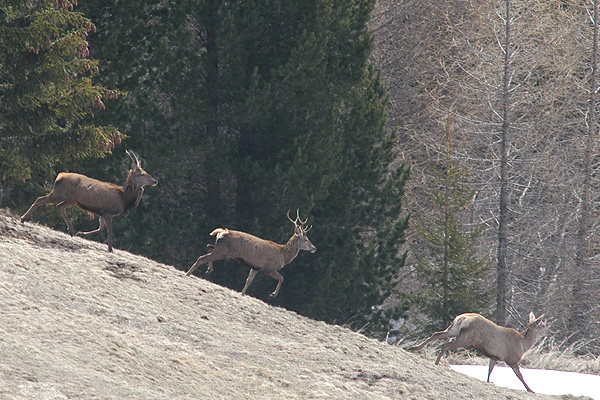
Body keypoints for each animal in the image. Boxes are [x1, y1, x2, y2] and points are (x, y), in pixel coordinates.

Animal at [20, 152, 157, 252]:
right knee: (40, 199)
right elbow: (109, 230)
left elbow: (100, 229)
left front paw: (81, 233)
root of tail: (59, 175)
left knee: (60, 207)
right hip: (59, 194)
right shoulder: (108, 212)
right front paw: (110, 249)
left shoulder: (102, 213)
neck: (124, 199)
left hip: (71, 199)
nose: (155, 181)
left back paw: (71, 230)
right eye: (142, 173)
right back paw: (23, 219)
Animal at [186, 209, 318, 296]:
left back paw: (208, 270)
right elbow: (282, 278)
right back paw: (188, 274)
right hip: (223, 251)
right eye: (306, 239)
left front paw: (242, 293)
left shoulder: (255, 267)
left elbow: (248, 281)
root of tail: (221, 232)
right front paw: (273, 294)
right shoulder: (269, 268)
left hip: (221, 248)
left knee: (208, 246)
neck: (284, 256)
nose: (314, 248)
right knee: (202, 258)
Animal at [410, 310, 548, 392]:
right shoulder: (512, 359)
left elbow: (489, 370)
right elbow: (520, 376)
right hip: (467, 338)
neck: (523, 344)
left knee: (436, 334)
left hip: (453, 330)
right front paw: (530, 390)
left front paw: (488, 381)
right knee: (446, 345)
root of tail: (462, 318)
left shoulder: (494, 357)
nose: (549, 333)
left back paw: (415, 348)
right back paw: (436, 362)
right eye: (543, 325)